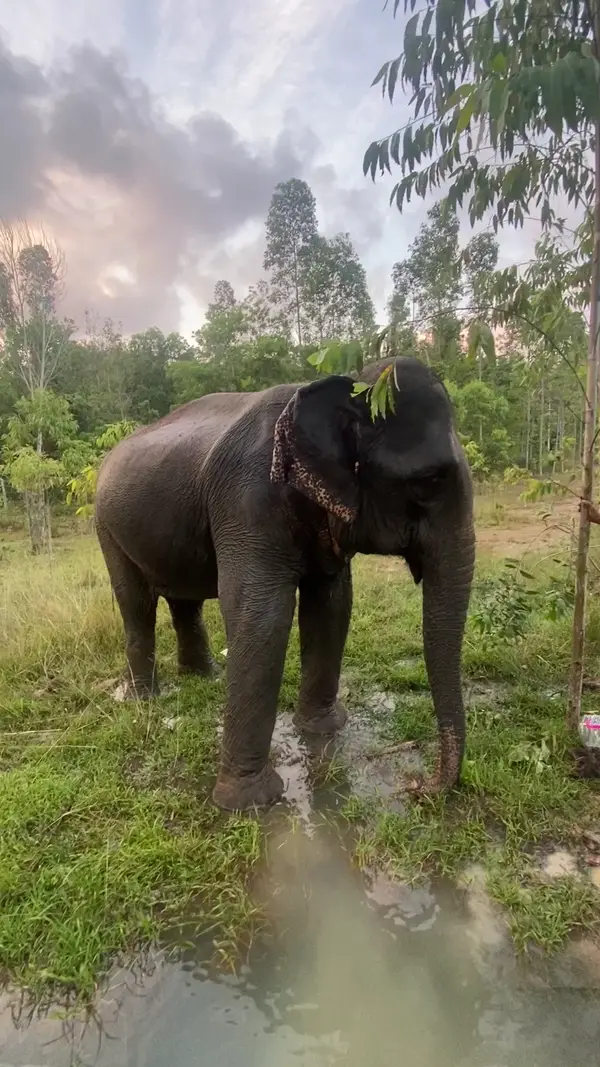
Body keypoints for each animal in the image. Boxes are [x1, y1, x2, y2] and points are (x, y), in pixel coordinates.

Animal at [95, 356, 475, 811]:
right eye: (428, 481)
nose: (417, 785)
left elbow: (332, 604)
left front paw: (324, 729)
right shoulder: (247, 498)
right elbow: (262, 617)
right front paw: (252, 803)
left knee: (184, 599)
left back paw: (204, 677)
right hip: (106, 526)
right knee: (135, 603)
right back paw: (143, 698)